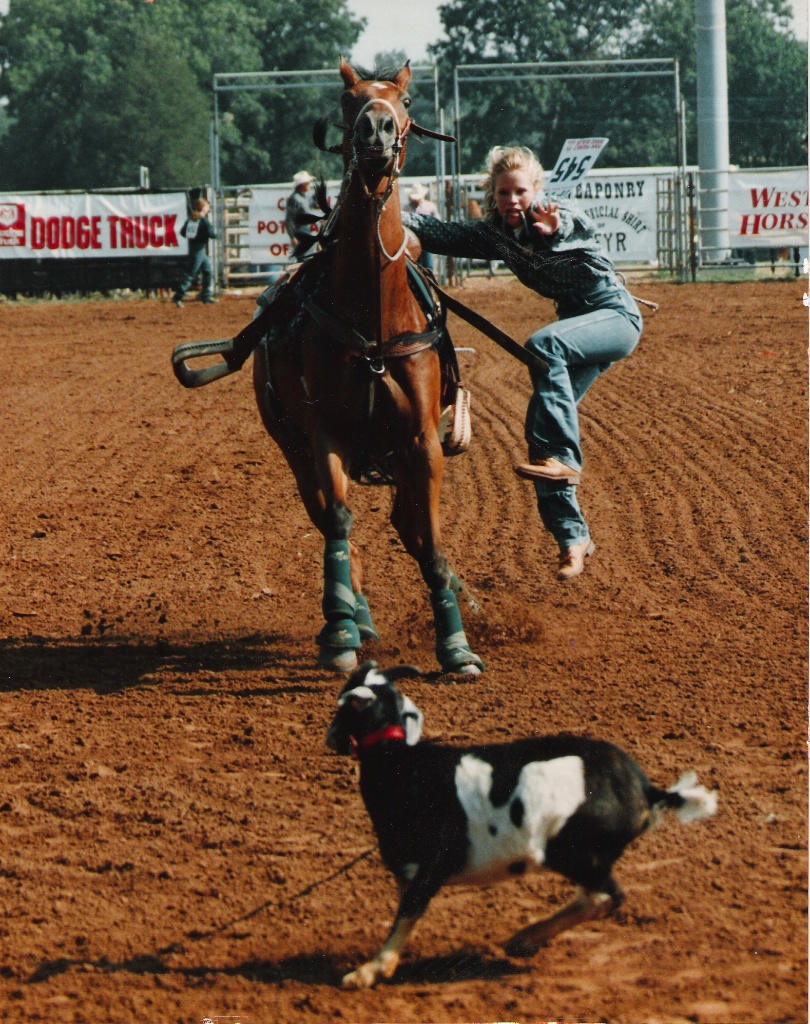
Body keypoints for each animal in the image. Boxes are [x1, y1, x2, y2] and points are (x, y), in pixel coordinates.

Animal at [326, 661, 718, 990]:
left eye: (344, 702)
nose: (331, 738)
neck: (400, 764)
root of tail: (646, 790)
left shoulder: (434, 864)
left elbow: (407, 912)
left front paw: (368, 972)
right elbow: (407, 912)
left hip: (574, 852)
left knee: (607, 896)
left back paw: (524, 939)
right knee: (594, 896)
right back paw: (523, 939)